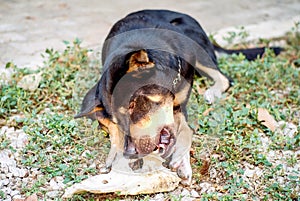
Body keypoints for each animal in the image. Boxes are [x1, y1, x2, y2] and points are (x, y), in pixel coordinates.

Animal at [75, 9, 282, 185]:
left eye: (133, 104)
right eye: (118, 118)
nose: (130, 152)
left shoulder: (180, 106)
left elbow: (185, 131)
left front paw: (182, 160)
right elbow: (113, 129)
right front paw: (117, 152)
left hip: (197, 47)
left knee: (223, 78)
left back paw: (213, 91)